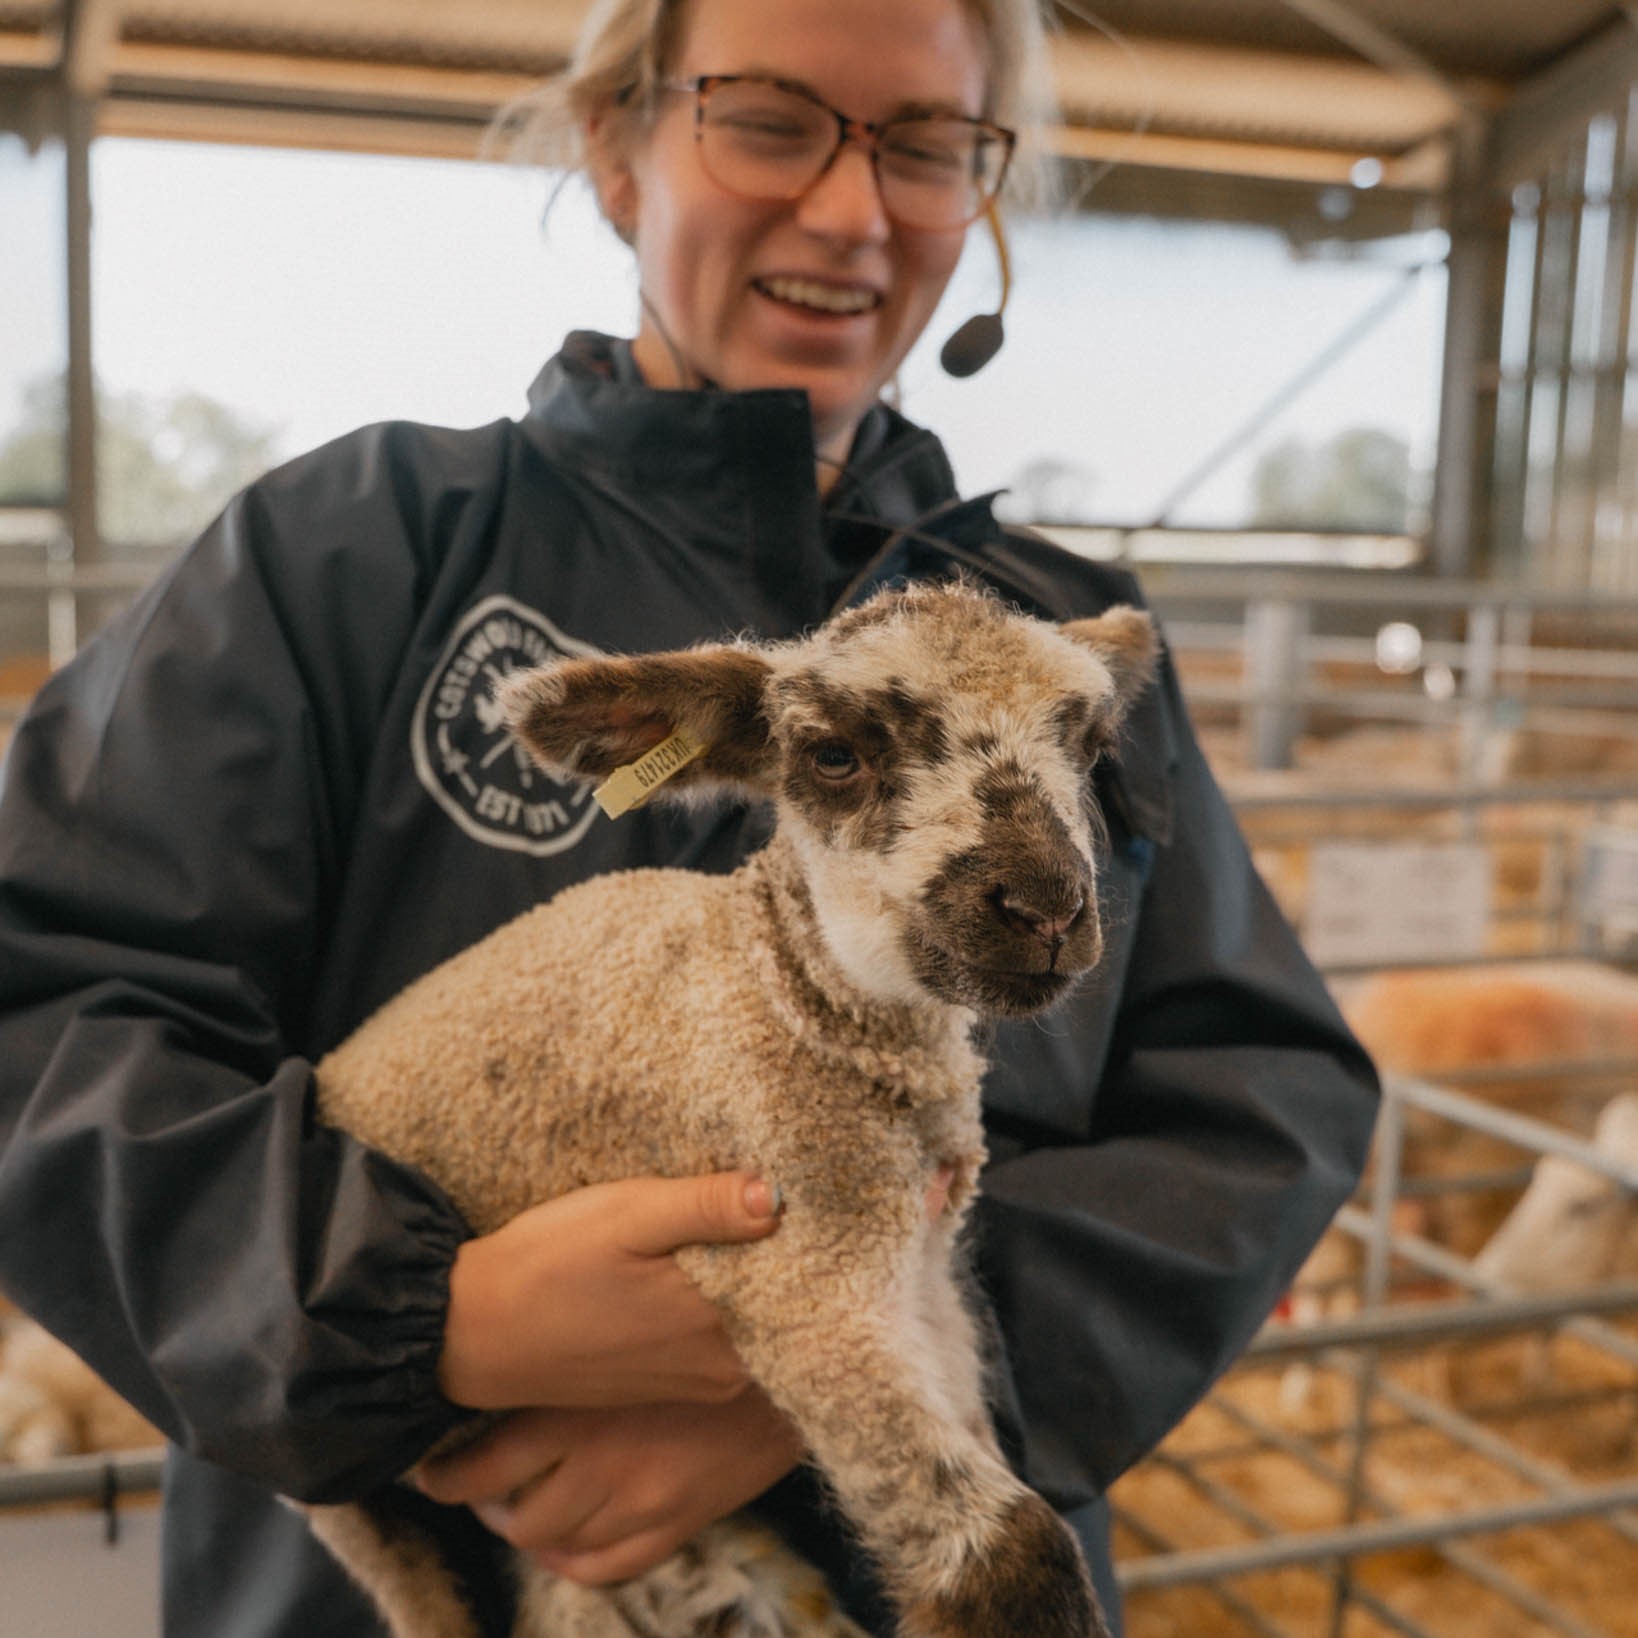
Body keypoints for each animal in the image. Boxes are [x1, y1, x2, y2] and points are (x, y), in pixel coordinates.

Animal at [303, 579, 1160, 1638]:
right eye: (834, 755)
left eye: (1090, 748)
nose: (1046, 907)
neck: (780, 990)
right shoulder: (799, 1272)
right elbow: (1014, 1556)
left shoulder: (923, 1277)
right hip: (359, 1505)